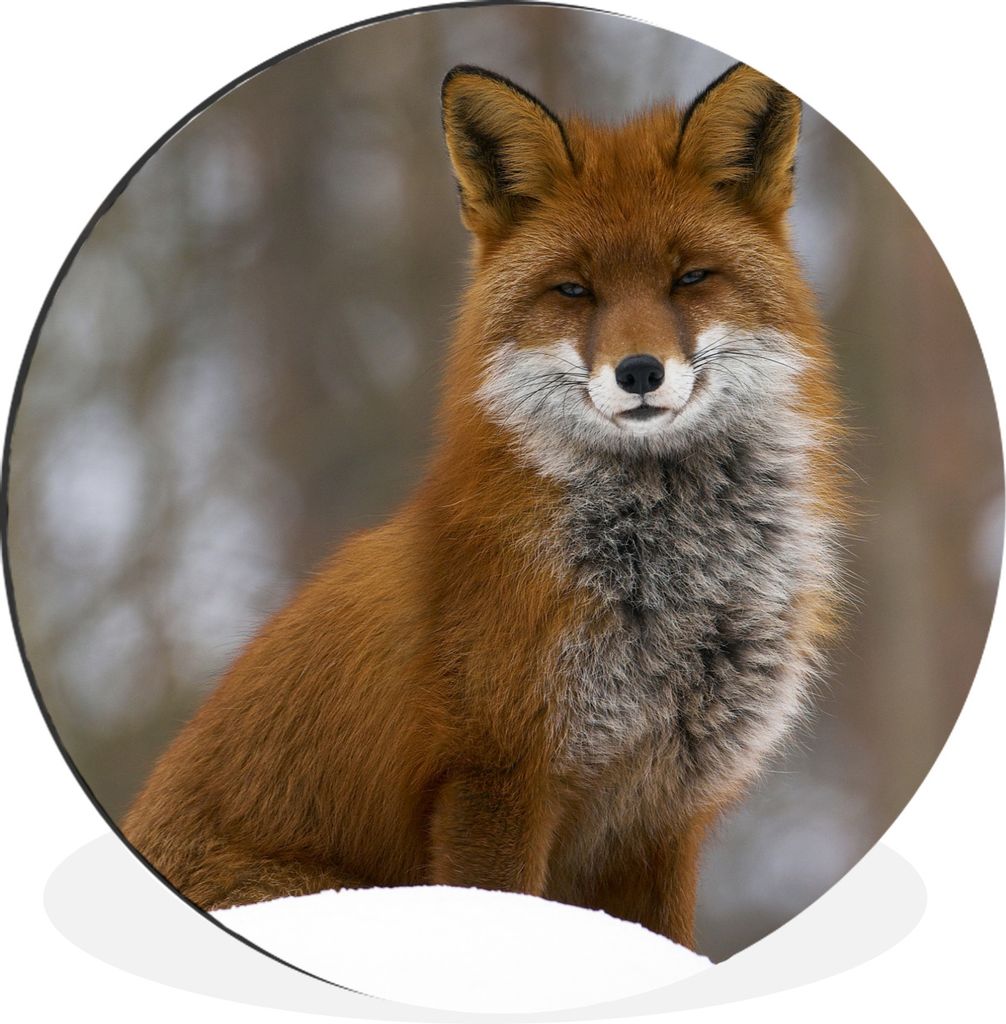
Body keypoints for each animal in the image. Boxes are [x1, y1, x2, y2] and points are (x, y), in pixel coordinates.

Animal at [122, 62, 845, 951]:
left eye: (690, 278)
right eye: (573, 289)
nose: (640, 372)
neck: (673, 593)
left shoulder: (662, 814)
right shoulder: (494, 776)